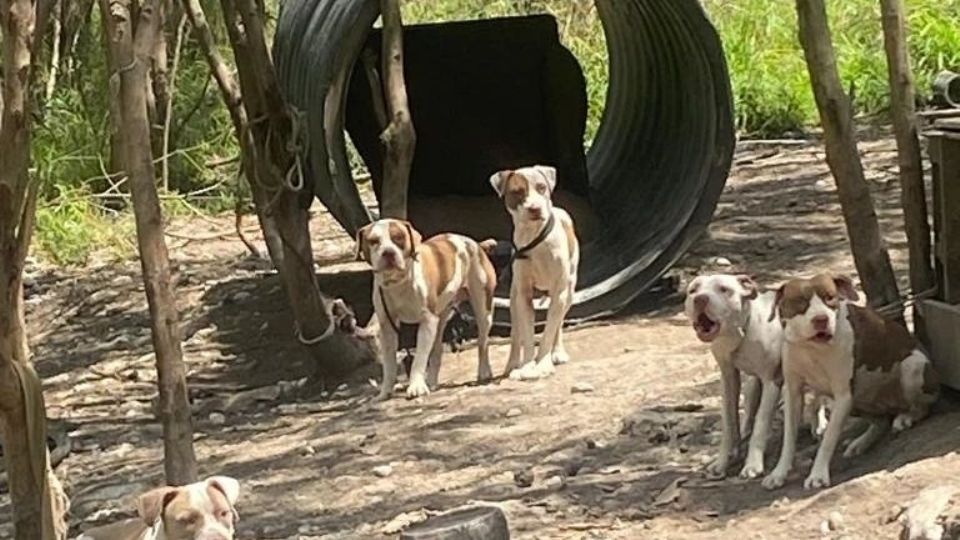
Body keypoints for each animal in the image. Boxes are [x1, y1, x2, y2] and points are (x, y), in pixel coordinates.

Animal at [356, 217, 498, 398]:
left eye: (399, 237)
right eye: (373, 241)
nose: (388, 252)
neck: (399, 282)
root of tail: (474, 243)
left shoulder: (427, 321)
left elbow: (419, 358)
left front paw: (416, 386)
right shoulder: (387, 326)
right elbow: (389, 363)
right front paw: (386, 390)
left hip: (483, 310)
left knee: (482, 343)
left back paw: (484, 371)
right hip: (441, 317)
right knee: (437, 350)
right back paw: (431, 382)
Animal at [488, 165, 576, 380]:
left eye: (542, 187)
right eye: (517, 192)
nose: (535, 208)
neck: (535, 238)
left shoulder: (560, 292)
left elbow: (549, 331)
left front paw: (542, 364)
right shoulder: (524, 295)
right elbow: (527, 335)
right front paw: (528, 366)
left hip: (569, 291)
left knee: (558, 323)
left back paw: (558, 353)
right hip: (513, 299)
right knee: (516, 334)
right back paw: (512, 364)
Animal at [680, 274, 784, 476]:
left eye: (723, 289)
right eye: (693, 290)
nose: (700, 299)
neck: (740, 333)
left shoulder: (771, 381)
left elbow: (761, 423)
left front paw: (752, 465)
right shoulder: (728, 379)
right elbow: (729, 423)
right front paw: (722, 461)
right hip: (752, 386)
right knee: (749, 415)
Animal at [760, 274, 940, 490]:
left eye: (830, 297)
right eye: (800, 302)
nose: (821, 319)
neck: (813, 349)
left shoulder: (843, 395)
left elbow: (829, 438)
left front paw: (817, 475)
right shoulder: (794, 392)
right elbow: (789, 439)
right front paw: (778, 473)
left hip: (912, 368)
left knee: (923, 406)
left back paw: (905, 418)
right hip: (857, 399)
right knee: (881, 421)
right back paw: (860, 443)